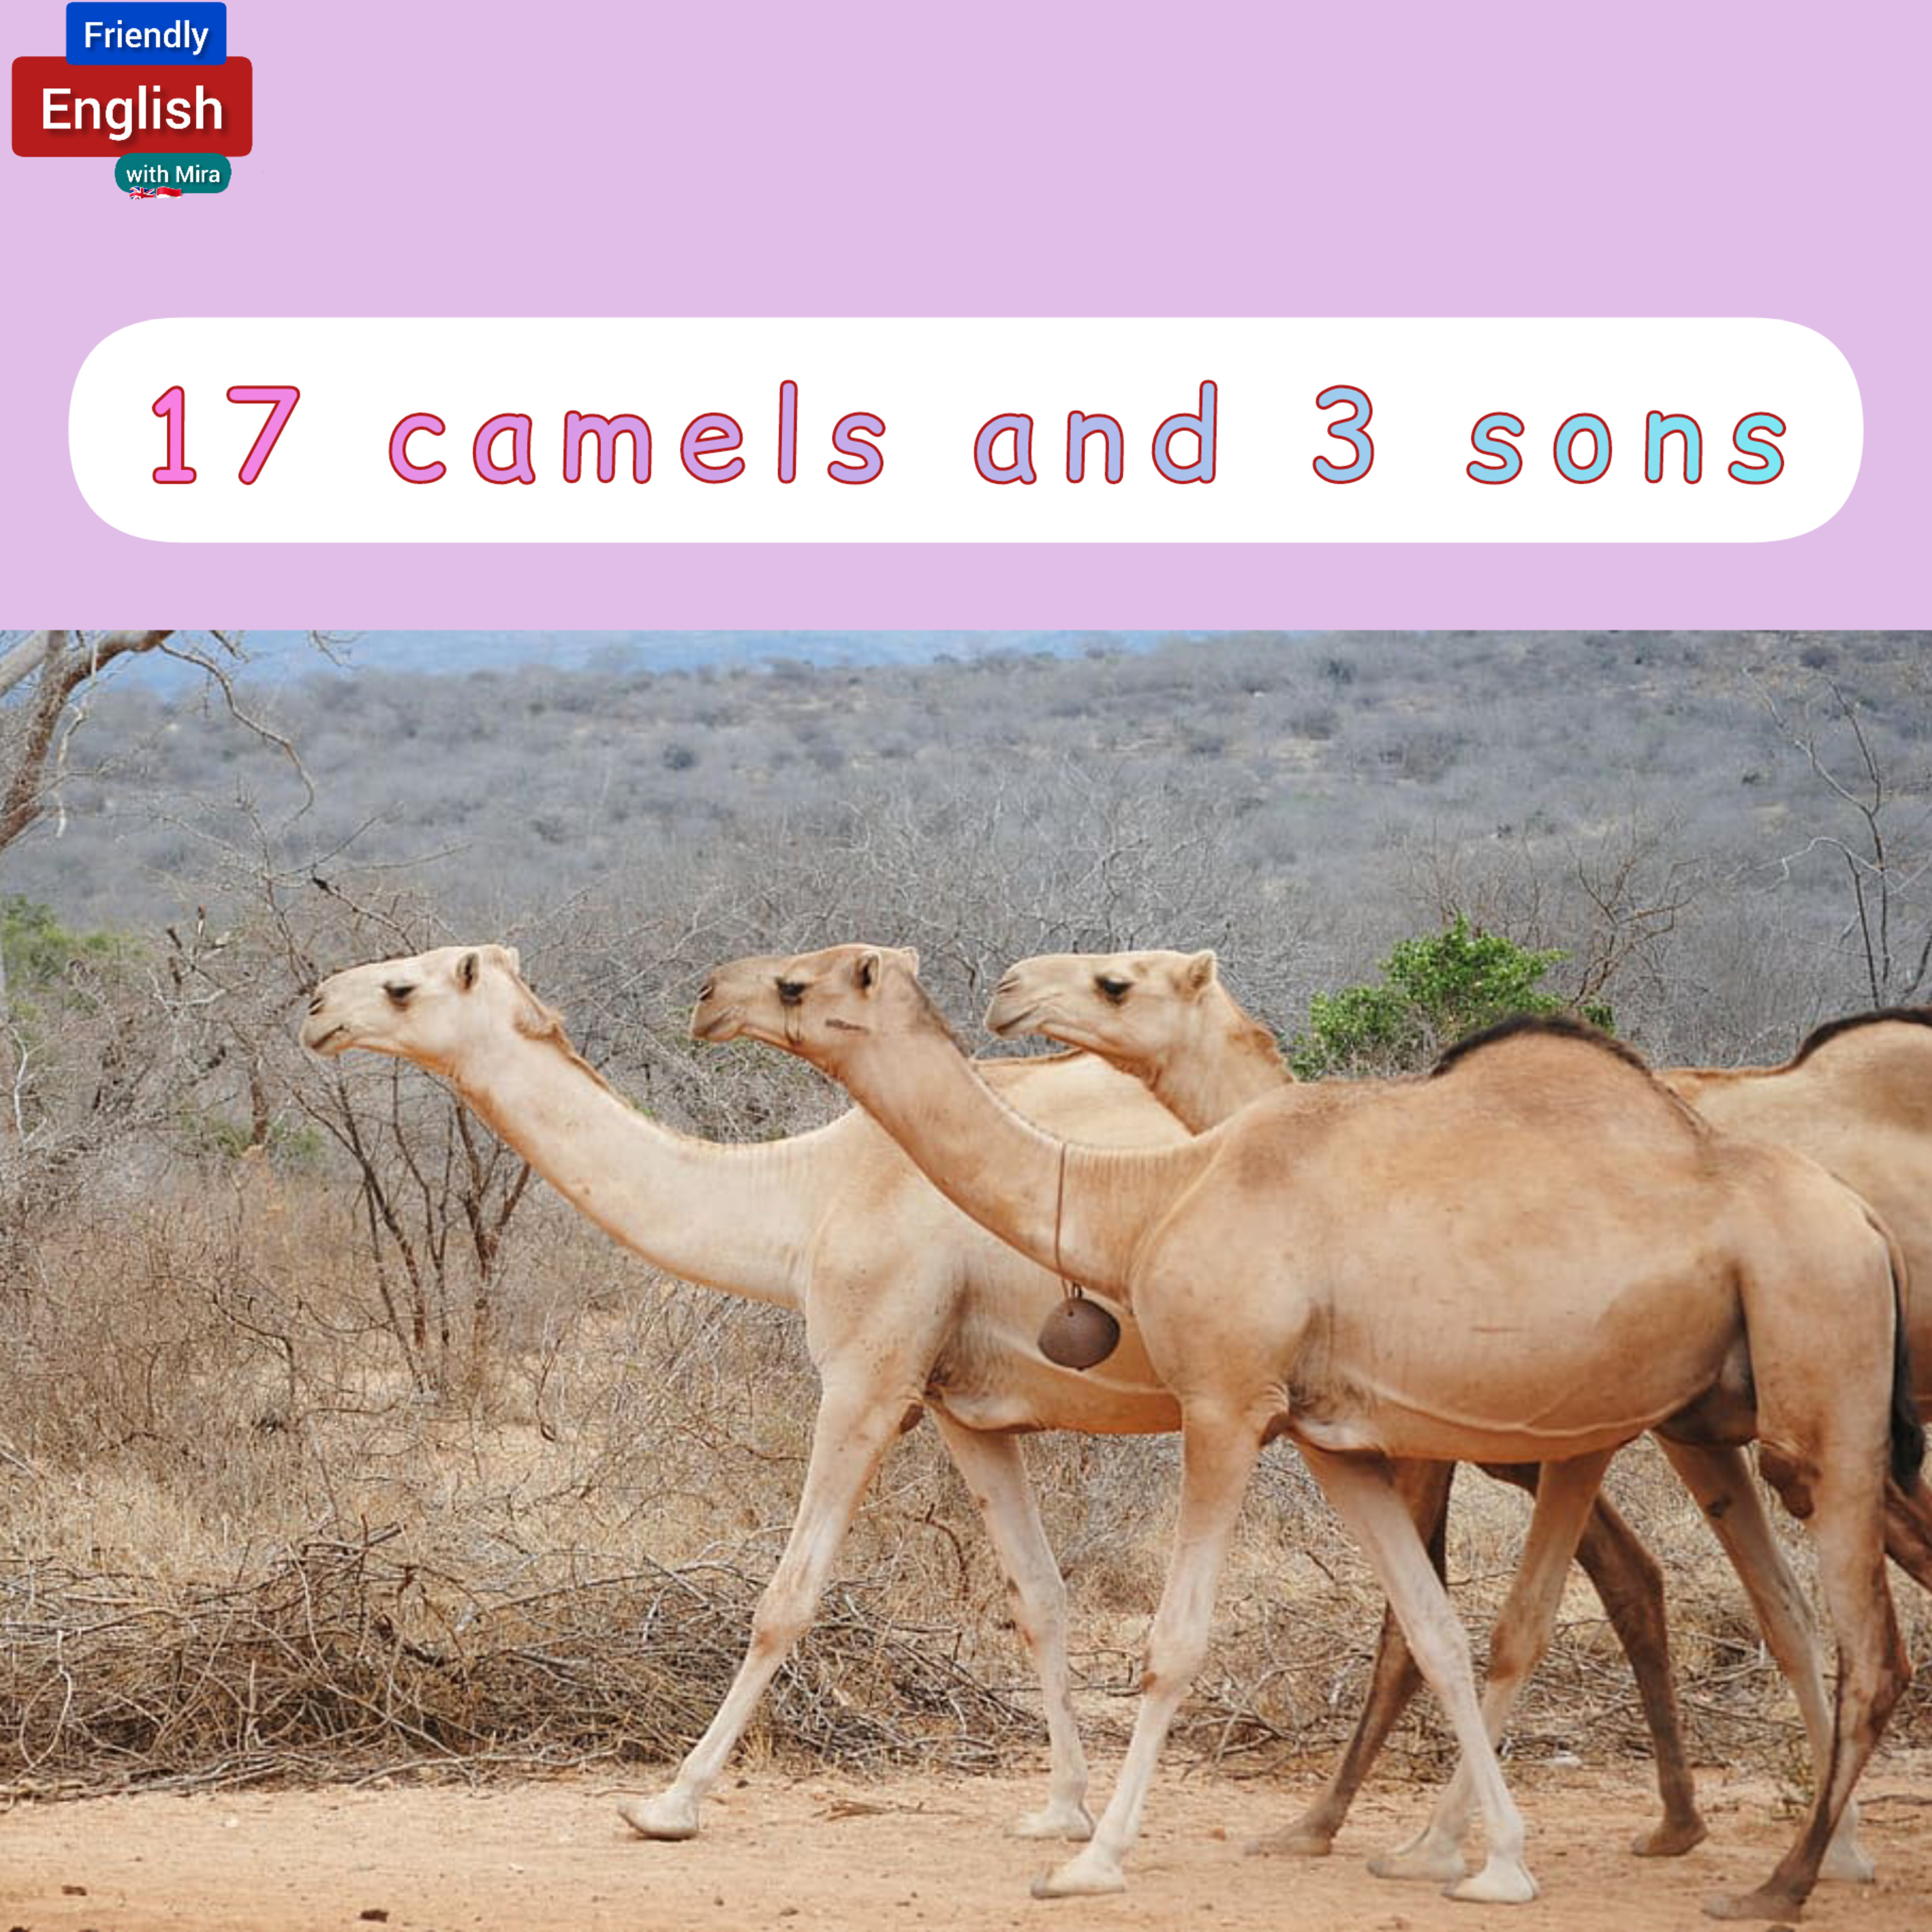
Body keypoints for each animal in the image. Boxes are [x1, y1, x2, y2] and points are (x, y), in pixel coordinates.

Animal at [694, 942, 1920, 1916]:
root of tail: (1861, 1219)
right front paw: (1491, 1862)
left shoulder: (1227, 1405)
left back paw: (1786, 1882)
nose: (708, 994)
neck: (1155, 1196)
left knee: (1868, 1642)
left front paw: (1092, 1859)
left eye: (798, 983)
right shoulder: (1335, 1440)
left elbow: (1177, 1643)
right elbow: (1432, 1629)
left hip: (1823, 1398)